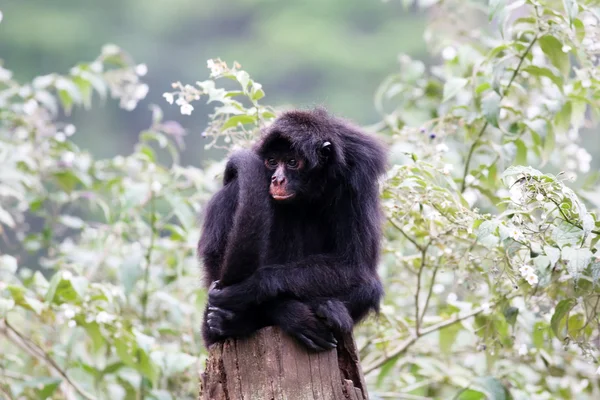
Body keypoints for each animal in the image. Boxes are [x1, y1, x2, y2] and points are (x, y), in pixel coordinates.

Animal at [199, 108, 386, 352]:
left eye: (292, 162)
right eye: (272, 161)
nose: (277, 179)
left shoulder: (359, 176)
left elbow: (356, 265)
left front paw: (250, 287)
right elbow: (213, 255)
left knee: (370, 287)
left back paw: (328, 309)